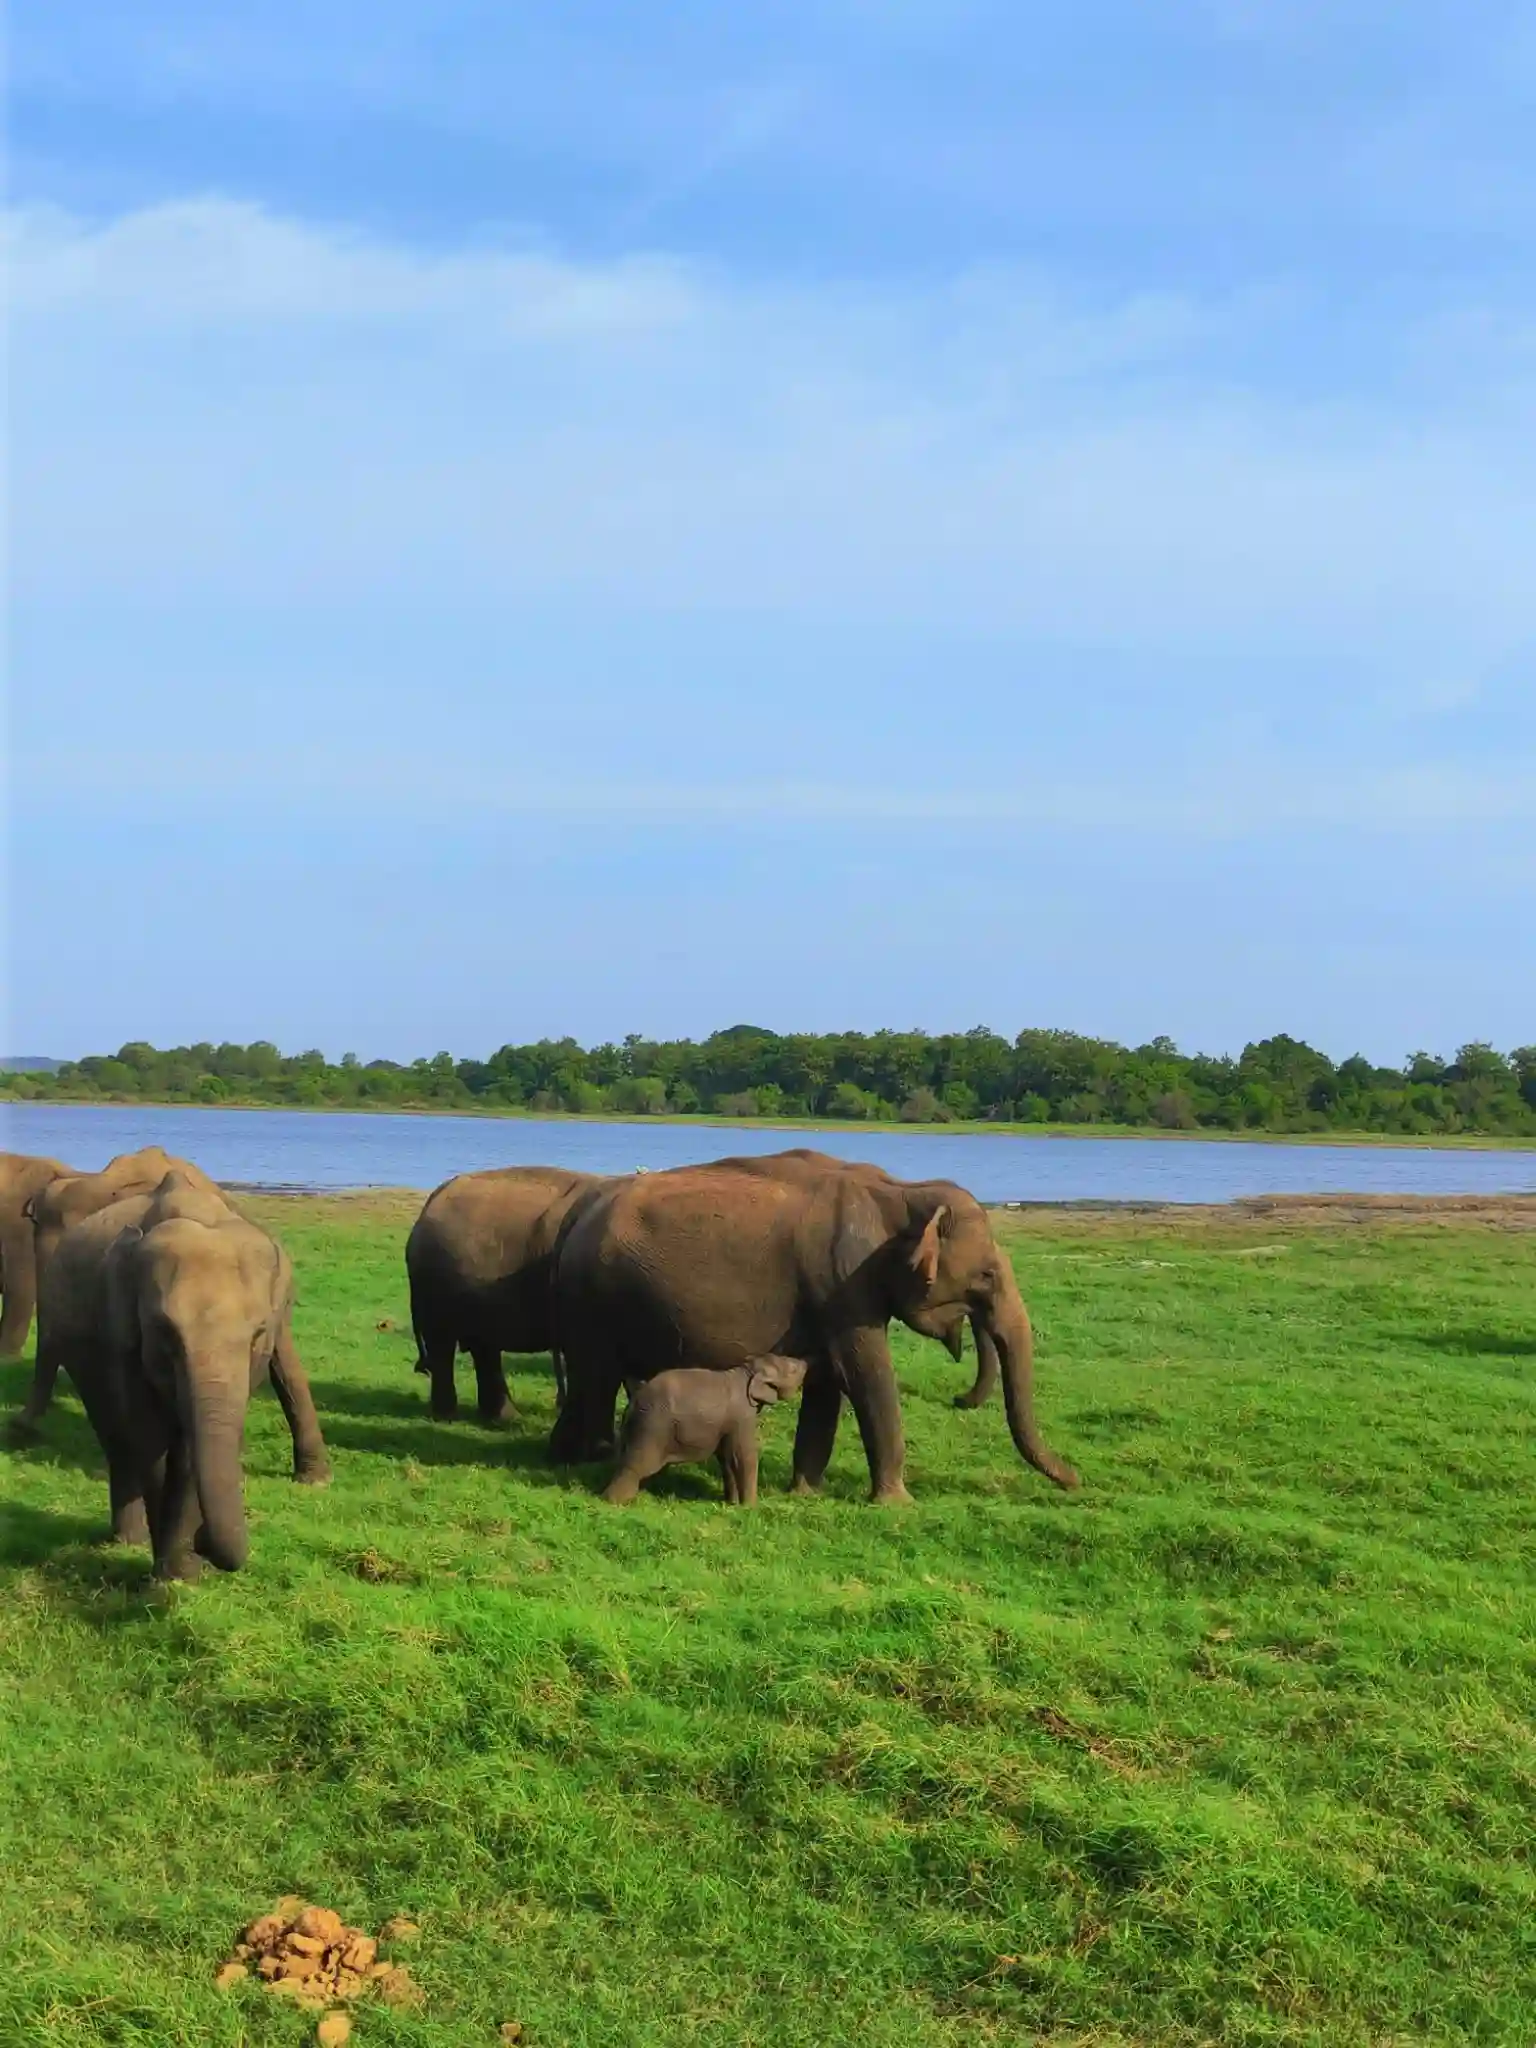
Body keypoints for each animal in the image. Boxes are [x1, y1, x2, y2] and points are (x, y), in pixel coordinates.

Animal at [35, 1170, 330, 1577]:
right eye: (165, 1333)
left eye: (257, 1335)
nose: (204, 1544)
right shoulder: (121, 1333)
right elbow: (150, 1435)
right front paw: (174, 1574)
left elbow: (190, 1447)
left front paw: (182, 1573)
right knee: (115, 1436)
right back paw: (129, 1540)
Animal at [406, 1166, 617, 1423]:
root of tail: (432, 1201)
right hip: (435, 1283)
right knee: (443, 1343)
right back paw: (448, 1416)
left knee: (483, 1345)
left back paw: (503, 1417)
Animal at [604, 1353, 808, 1505]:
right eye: (793, 1369)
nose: (806, 1362)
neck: (746, 1371)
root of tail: (634, 1401)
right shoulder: (742, 1416)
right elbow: (744, 1454)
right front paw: (750, 1508)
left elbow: (727, 1459)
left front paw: (732, 1504)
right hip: (652, 1429)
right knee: (636, 1466)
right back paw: (616, 1502)